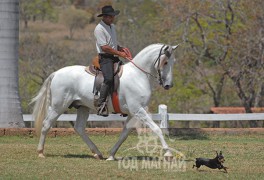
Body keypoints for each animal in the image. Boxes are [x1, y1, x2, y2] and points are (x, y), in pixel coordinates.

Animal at [32, 43, 178, 160]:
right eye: (165, 62)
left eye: (173, 62)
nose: (169, 85)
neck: (138, 75)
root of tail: (56, 73)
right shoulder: (138, 110)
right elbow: (156, 128)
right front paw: (168, 153)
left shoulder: (133, 113)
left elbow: (124, 134)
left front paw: (112, 155)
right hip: (58, 107)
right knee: (46, 124)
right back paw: (40, 152)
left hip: (83, 107)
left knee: (79, 128)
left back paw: (97, 153)